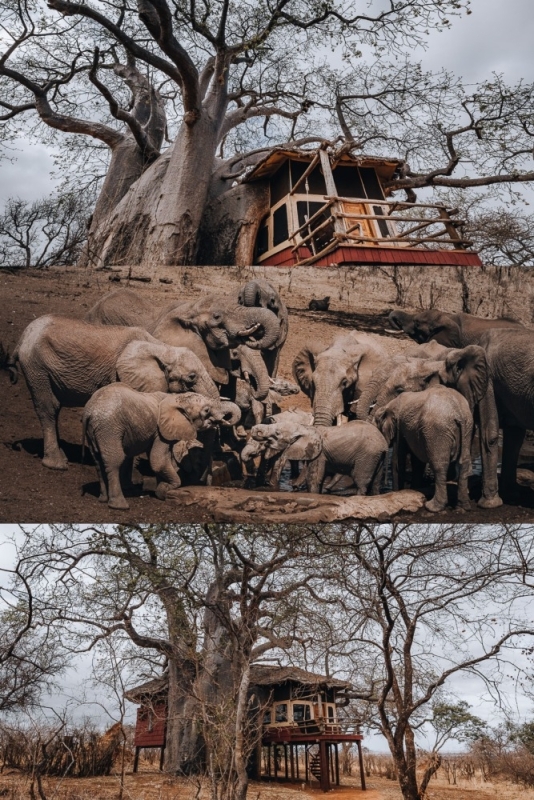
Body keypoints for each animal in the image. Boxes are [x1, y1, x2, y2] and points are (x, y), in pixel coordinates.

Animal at [8, 314, 222, 468]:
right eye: (191, 378)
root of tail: (24, 335)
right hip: (36, 367)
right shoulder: (124, 376)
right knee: (48, 408)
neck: (162, 349)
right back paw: (57, 465)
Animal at [83, 386, 239, 510]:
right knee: (115, 460)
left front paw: (160, 490)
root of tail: (88, 411)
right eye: (206, 410)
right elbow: (157, 461)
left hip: (95, 431)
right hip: (109, 428)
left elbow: (160, 459)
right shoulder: (161, 431)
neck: (176, 398)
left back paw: (103, 499)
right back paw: (120, 506)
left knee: (98, 461)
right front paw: (166, 490)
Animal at [251, 418, 390, 494]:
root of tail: (384, 444)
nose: (293, 486)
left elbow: (313, 480)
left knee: (361, 482)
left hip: (367, 456)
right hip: (376, 457)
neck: (305, 428)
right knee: (375, 483)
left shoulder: (319, 455)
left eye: (277, 433)